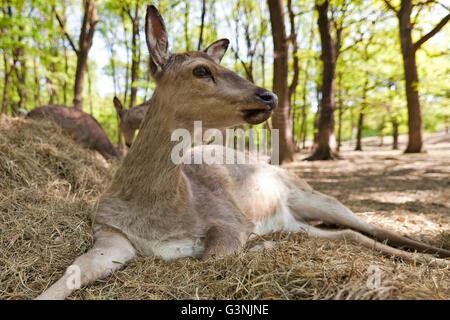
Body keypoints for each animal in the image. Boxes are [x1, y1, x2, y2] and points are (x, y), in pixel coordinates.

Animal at [36, 4, 450, 300]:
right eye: (201, 70)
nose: (268, 95)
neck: (157, 212)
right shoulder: (110, 236)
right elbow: (69, 273)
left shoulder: (229, 218)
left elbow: (213, 257)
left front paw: (259, 247)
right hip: (295, 219)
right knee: (349, 235)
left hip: (308, 193)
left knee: (370, 224)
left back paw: (433, 255)